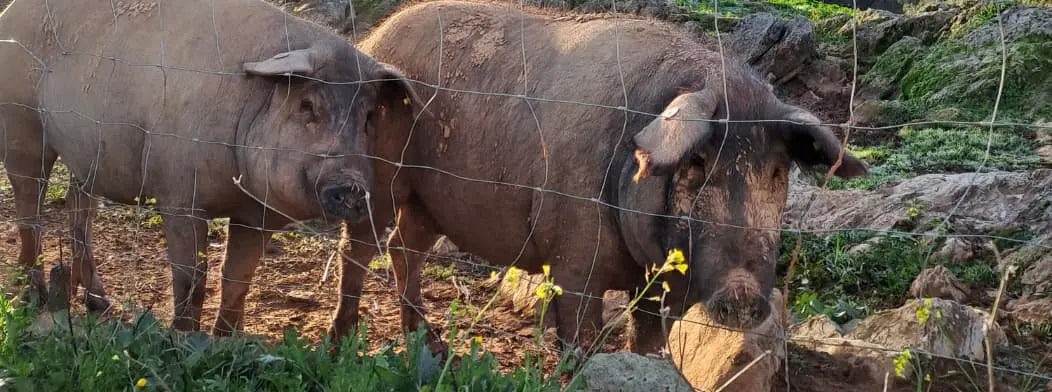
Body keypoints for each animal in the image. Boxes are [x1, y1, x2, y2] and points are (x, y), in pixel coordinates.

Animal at [4, 0, 425, 334]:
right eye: (307, 105)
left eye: (369, 116)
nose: (351, 186)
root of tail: (11, 13)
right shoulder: (178, 195)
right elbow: (192, 278)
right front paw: (184, 337)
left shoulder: (258, 215)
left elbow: (238, 277)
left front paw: (228, 339)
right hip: (22, 128)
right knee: (30, 212)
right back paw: (33, 296)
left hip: (85, 155)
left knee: (78, 208)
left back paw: (99, 304)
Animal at [332, 0, 866, 353]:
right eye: (696, 163)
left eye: (776, 171)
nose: (743, 293)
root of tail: (372, 38)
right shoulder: (572, 262)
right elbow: (580, 338)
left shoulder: (662, 288)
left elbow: (648, 342)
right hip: (377, 181)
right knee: (358, 250)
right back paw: (343, 342)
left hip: (428, 201)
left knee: (404, 248)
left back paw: (430, 342)